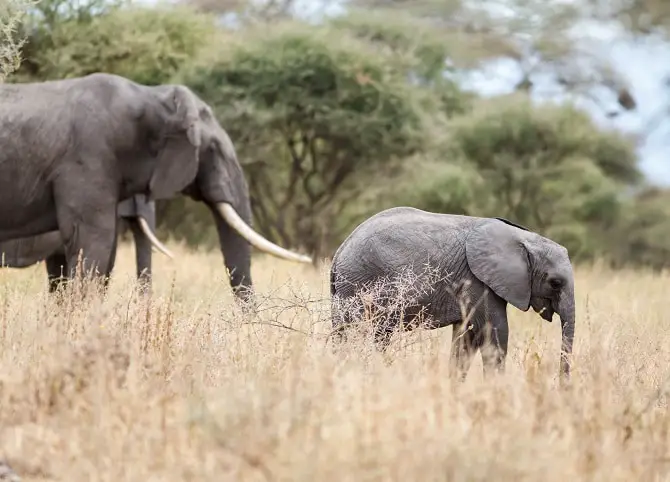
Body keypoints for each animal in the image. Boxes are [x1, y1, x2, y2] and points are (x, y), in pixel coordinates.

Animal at [330, 206, 576, 384]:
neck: (524, 238)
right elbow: (493, 333)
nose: (561, 387)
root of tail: (339, 252)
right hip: (361, 283)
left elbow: (466, 337)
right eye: (555, 283)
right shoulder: (477, 281)